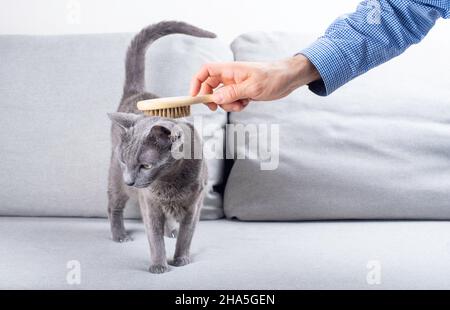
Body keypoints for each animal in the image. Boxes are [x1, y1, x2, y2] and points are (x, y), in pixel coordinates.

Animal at [106, 21, 214, 274]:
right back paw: (120, 235)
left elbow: (186, 235)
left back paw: (170, 231)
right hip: (114, 178)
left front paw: (181, 259)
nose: (130, 181)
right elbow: (154, 237)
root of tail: (138, 93)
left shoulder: (194, 205)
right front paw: (159, 265)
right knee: (114, 206)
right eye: (125, 161)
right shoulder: (149, 203)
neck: (168, 183)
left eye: (145, 166)